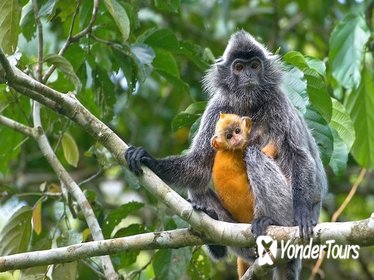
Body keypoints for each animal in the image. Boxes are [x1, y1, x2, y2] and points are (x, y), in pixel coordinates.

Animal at [212, 113, 276, 278]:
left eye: (237, 131)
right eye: (228, 136)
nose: (236, 138)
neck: (227, 150)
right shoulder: (240, 152)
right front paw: (271, 148)